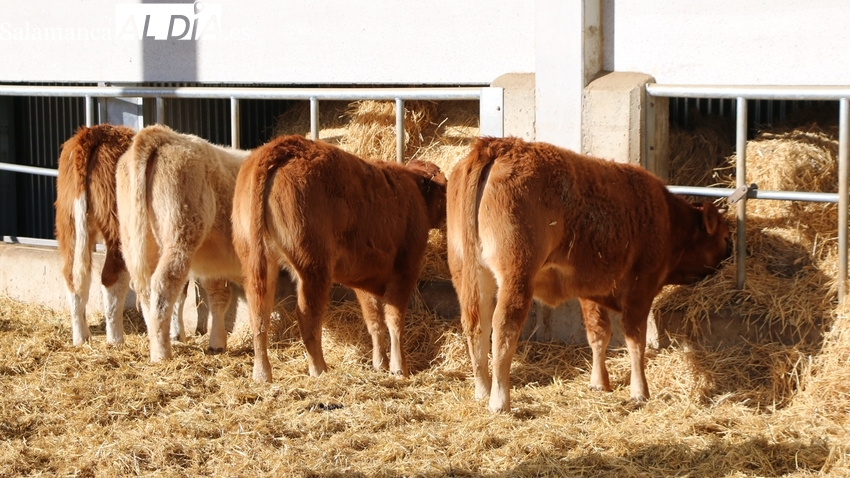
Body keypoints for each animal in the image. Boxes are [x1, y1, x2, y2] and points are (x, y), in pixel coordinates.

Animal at [229, 134, 448, 380]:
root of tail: (284, 145)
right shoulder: (405, 269)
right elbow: (394, 320)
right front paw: (399, 368)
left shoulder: (366, 277)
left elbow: (374, 321)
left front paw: (380, 363)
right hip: (313, 267)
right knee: (307, 317)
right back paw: (319, 369)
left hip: (258, 263)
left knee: (259, 315)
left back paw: (262, 373)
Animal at [444, 136, 728, 412]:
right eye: (724, 237)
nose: (725, 260)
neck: (668, 220)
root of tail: (497, 146)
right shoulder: (640, 289)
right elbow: (635, 339)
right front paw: (640, 392)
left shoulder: (591, 292)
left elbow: (598, 335)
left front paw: (599, 383)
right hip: (517, 275)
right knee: (503, 327)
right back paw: (499, 401)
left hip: (468, 272)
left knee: (476, 325)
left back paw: (482, 391)